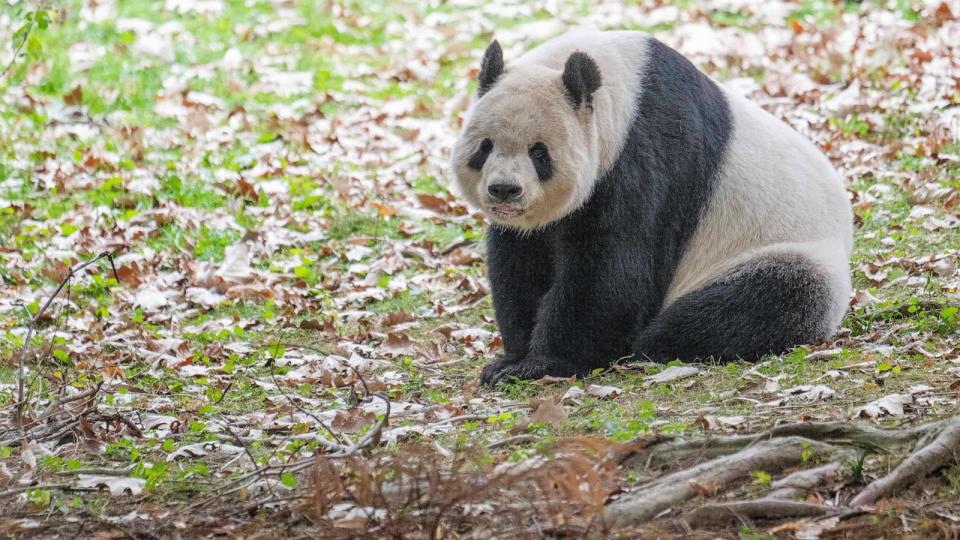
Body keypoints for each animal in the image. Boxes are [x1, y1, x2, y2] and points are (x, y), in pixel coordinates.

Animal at [450, 29, 856, 386]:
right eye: (485, 146)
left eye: (539, 152)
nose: (505, 190)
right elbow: (521, 263)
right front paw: (511, 358)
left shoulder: (643, 160)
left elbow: (612, 270)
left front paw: (542, 363)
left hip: (782, 251)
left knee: (762, 300)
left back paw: (655, 341)